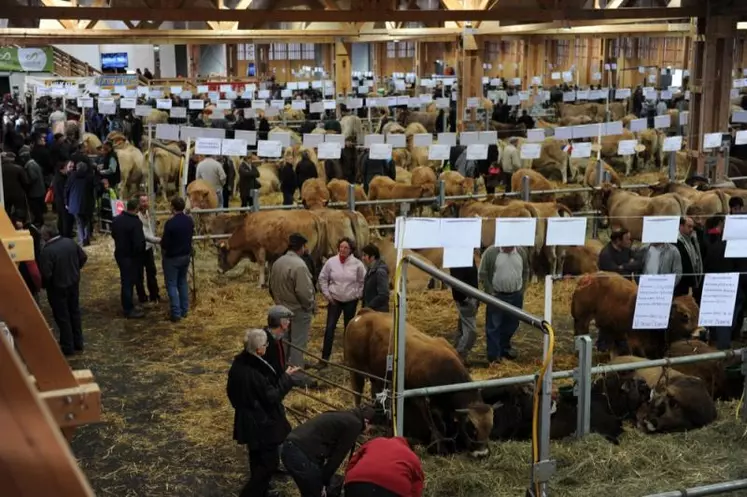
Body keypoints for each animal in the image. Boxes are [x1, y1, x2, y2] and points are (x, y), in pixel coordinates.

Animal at [344, 310, 496, 458]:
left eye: (490, 429)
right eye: (473, 429)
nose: (482, 454)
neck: (441, 367)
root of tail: (364, 313)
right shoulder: (421, 400)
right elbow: (433, 424)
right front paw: (440, 446)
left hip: (377, 376)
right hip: (355, 370)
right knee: (357, 394)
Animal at [576, 272, 704, 356]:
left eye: (699, 311)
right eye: (685, 315)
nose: (702, 332)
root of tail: (589, 276)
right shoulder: (635, 344)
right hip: (581, 319)